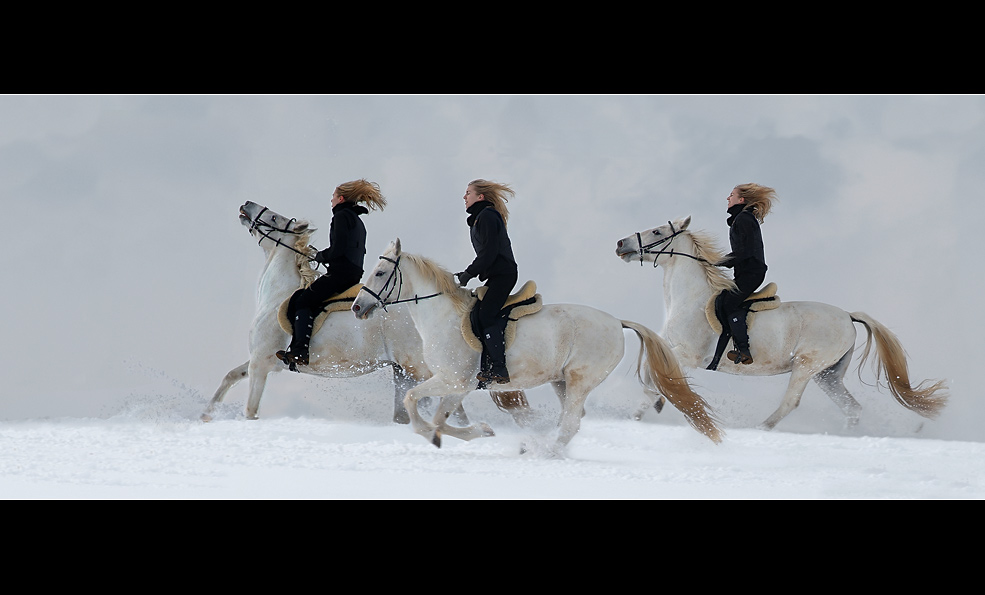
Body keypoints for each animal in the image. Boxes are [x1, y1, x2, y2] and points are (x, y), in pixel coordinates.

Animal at [199, 203, 532, 426]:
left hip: (422, 370)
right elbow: (230, 376)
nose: (246, 205)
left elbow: (250, 410)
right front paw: (205, 415)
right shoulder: (260, 360)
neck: (277, 295)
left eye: (273, 218)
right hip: (406, 372)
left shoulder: (261, 364)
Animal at [350, 240, 720, 454]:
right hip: (561, 382)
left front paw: (435, 436)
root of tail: (617, 322)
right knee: (572, 420)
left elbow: (416, 403)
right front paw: (476, 432)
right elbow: (438, 416)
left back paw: (545, 451)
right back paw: (538, 445)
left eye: (380, 272)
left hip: (579, 380)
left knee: (570, 424)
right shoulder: (458, 386)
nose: (356, 307)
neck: (442, 316)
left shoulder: (453, 381)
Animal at [616, 217, 944, 430]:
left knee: (791, 403)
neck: (690, 300)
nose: (621, 243)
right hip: (828, 375)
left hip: (805, 367)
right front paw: (644, 411)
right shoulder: (671, 350)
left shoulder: (688, 355)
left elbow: (657, 379)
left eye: (657, 230)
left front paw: (649, 408)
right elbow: (654, 377)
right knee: (852, 408)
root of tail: (847, 315)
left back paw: (760, 428)